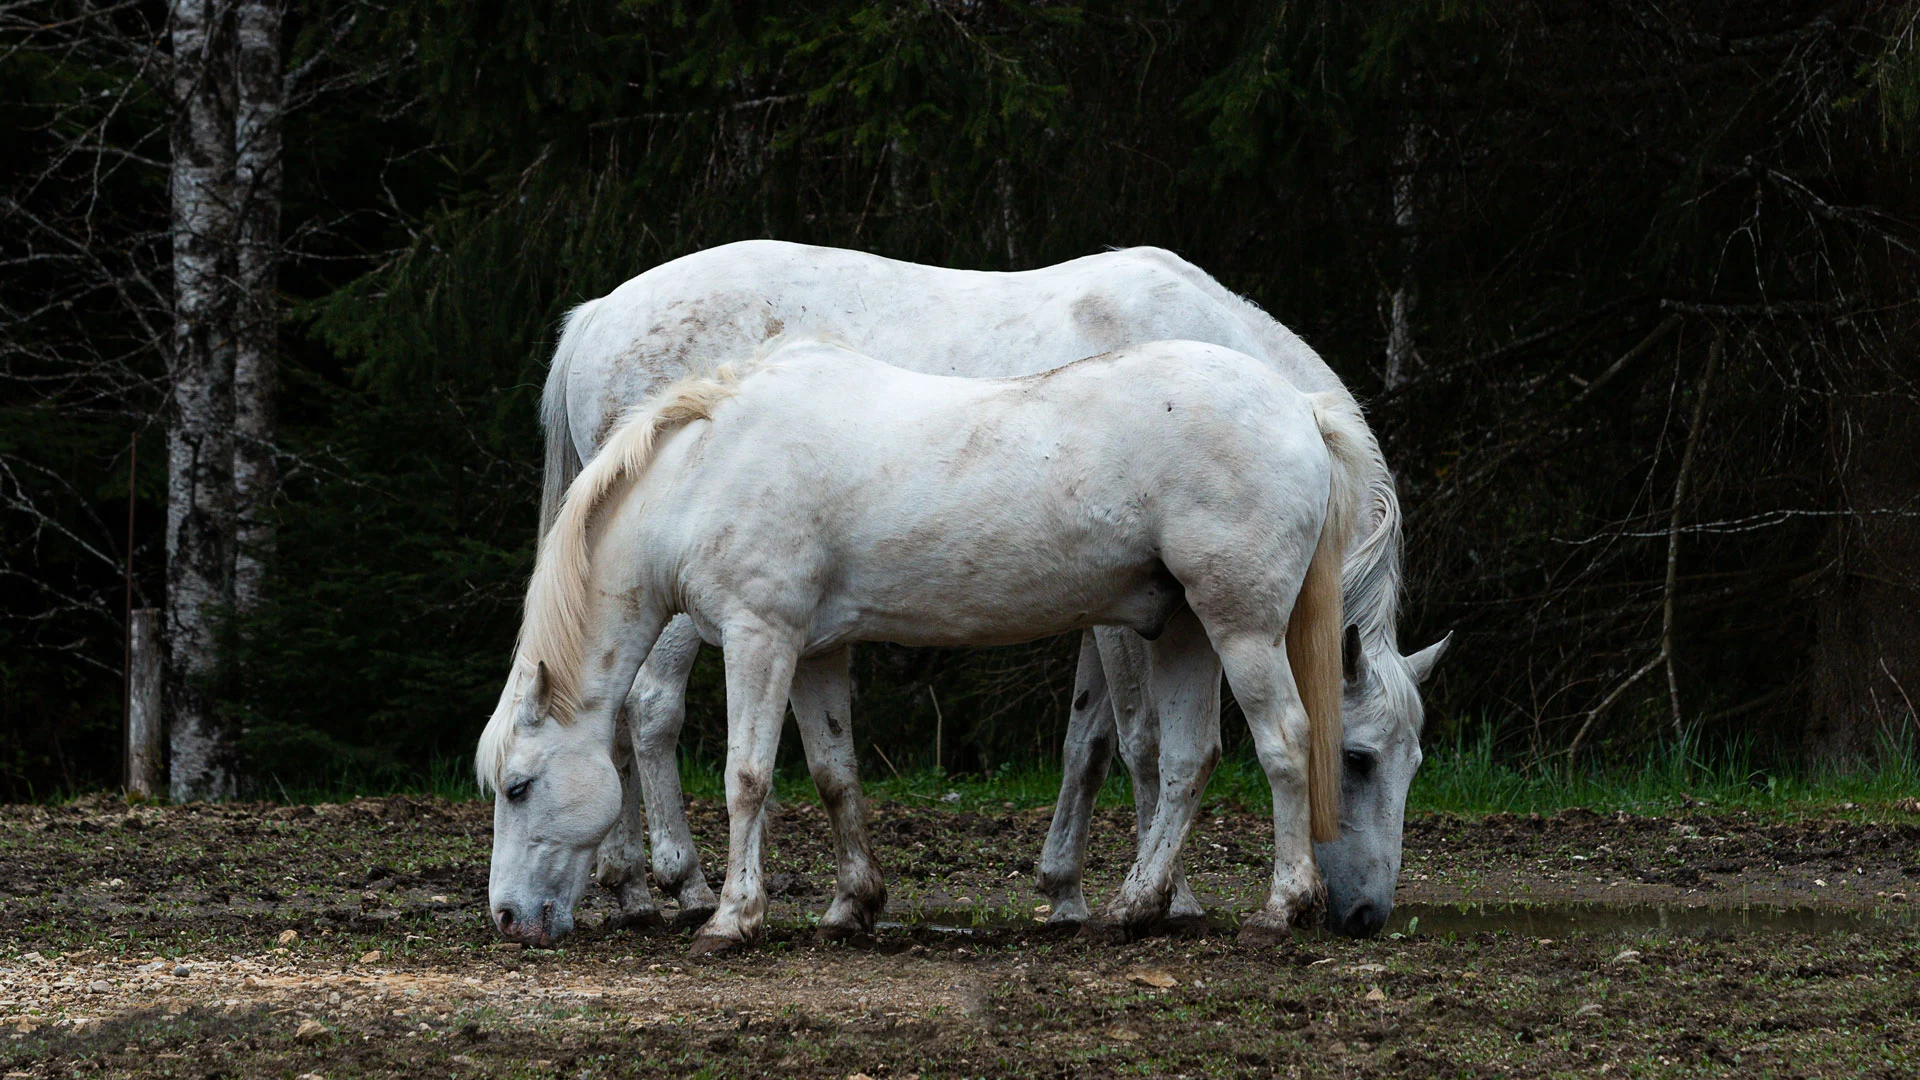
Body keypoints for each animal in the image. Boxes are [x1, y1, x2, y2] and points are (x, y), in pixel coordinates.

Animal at [541, 240, 1448, 939]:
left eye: (1414, 763)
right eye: (1359, 759)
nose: (1366, 914)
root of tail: (600, 314)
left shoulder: (1112, 608)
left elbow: (1088, 743)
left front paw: (1068, 889)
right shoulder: (1128, 624)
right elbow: (1143, 743)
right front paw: (1172, 897)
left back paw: (629, 887)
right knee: (645, 707)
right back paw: (681, 885)